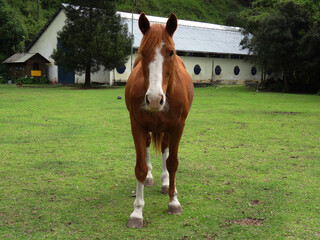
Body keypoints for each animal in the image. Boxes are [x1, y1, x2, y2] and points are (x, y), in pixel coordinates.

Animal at [125, 12, 194, 228]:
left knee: (165, 149)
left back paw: (167, 184)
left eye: (171, 52)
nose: (155, 99)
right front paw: (137, 212)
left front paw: (173, 202)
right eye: (142, 53)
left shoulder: (178, 127)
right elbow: (140, 167)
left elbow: (172, 163)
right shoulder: (137, 126)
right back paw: (151, 179)